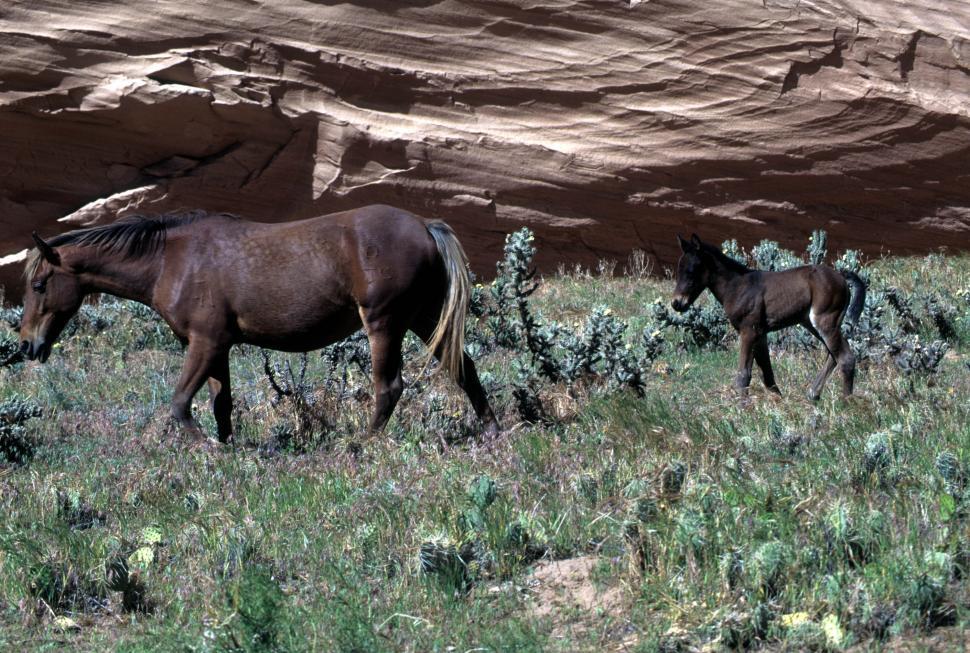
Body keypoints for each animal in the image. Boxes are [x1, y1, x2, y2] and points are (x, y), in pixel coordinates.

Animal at [19, 205, 500, 443]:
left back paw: (362, 444)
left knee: (390, 387)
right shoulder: (217, 347)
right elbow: (221, 405)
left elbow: (179, 404)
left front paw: (208, 447)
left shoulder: (205, 343)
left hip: (385, 322)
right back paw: (492, 431)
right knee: (465, 369)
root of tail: (424, 225)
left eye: (40, 284)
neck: (170, 260)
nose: (26, 345)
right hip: (423, 318)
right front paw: (228, 447)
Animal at [670, 234, 866, 400]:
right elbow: (767, 373)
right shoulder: (761, 334)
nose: (676, 303)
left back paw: (847, 404)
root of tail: (841, 277)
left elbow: (744, 375)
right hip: (812, 323)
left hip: (825, 321)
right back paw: (813, 395)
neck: (737, 286)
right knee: (832, 355)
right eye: (678, 269)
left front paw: (742, 408)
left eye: (692, 270)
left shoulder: (749, 330)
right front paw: (778, 402)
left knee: (845, 358)